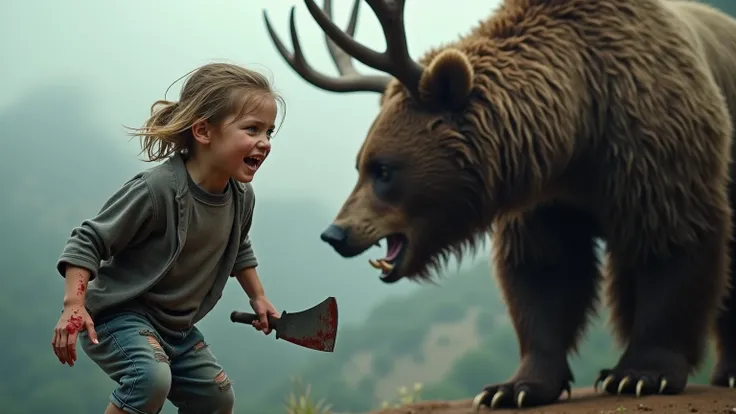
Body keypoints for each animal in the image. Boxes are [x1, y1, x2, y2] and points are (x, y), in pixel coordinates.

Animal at [264, 0, 736, 410]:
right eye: (359, 163)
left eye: (384, 170)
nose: (336, 233)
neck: (578, 128)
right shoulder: (544, 201)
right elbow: (543, 273)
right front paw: (514, 388)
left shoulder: (654, 156)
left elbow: (674, 248)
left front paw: (640, 373)